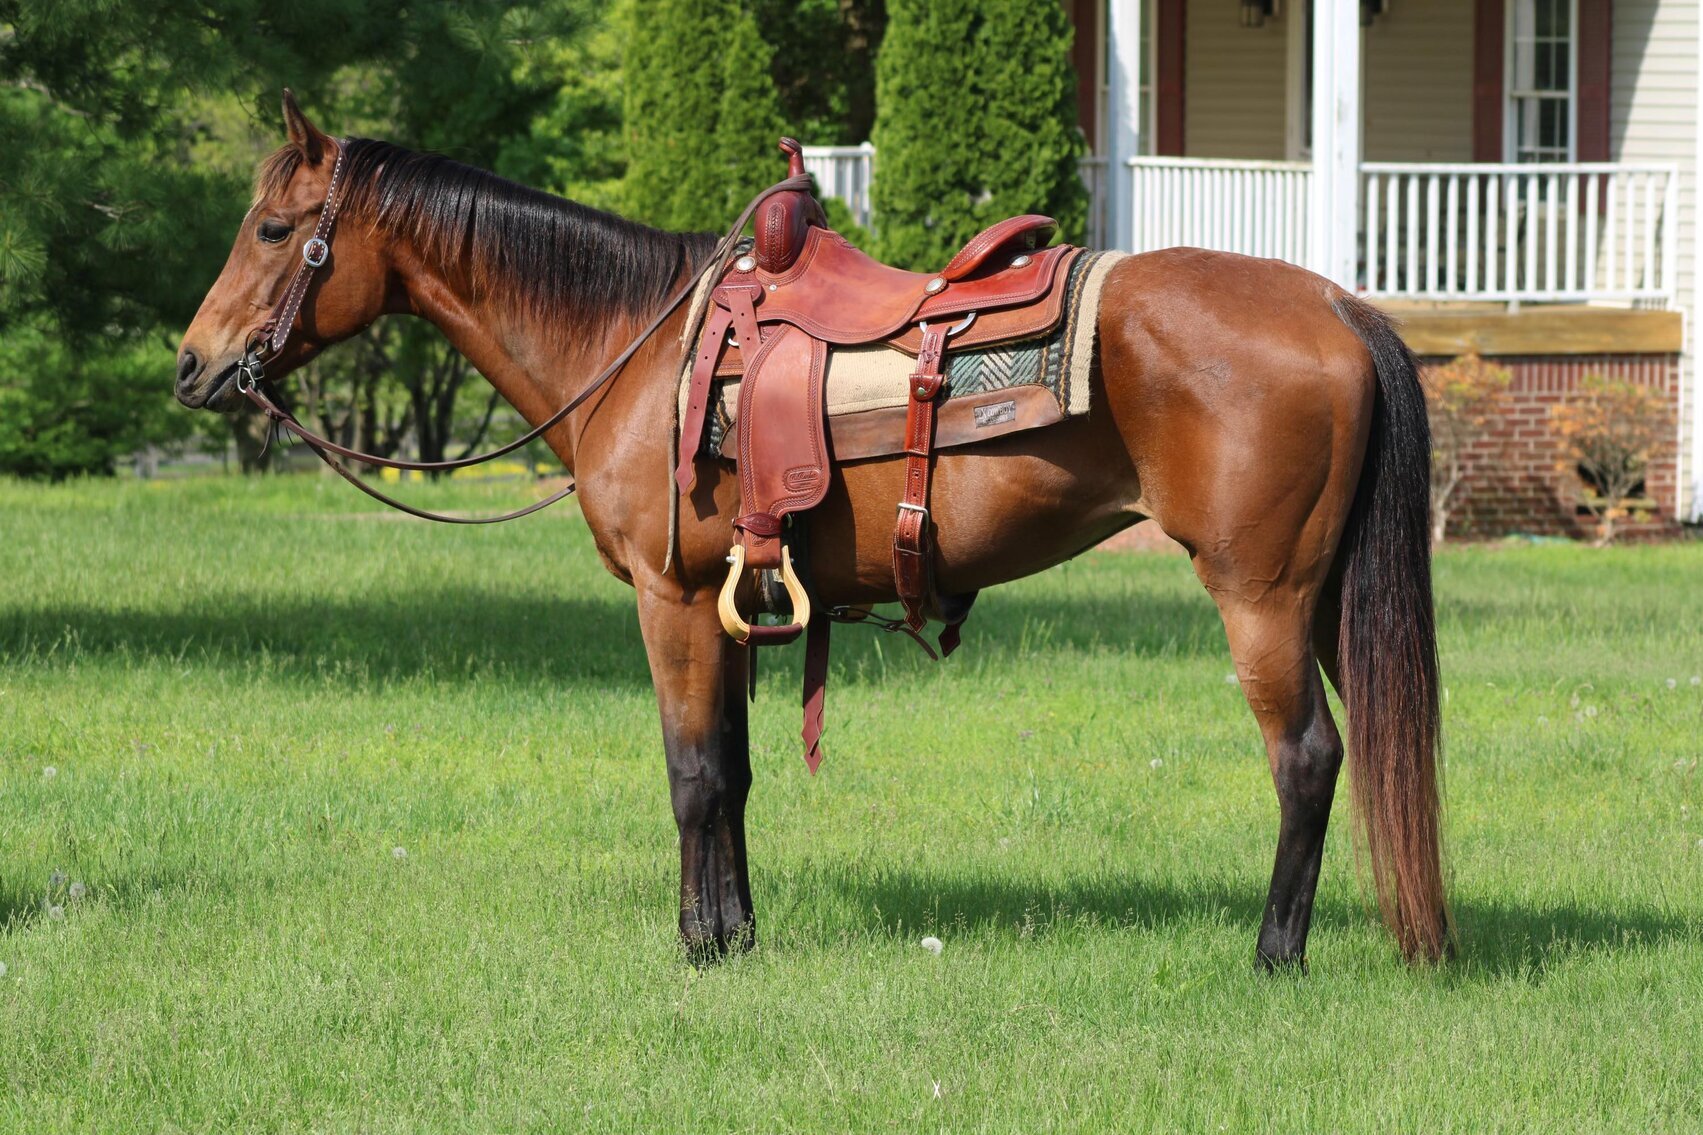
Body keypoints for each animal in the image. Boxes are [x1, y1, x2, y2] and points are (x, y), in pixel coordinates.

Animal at [175, 93, 1447, 968]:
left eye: (275, 228)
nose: (193, 364)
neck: (635, 343)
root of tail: (1336, 304)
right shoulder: (735, 602)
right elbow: (733, 773)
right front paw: (737, 931)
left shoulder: (672, 601)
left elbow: (691, 774)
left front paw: (697, 944)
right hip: (1325, 600)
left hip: (1261, 597)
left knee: (1306, 758)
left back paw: (1273, 952)